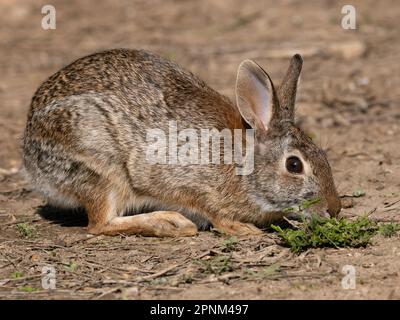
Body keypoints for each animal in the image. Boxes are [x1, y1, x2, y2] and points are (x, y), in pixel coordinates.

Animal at [21, 48, 340, 238]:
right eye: (294, 165)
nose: (334, 210)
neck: (242, 165)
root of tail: (30, 158)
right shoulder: (186, 182)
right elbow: (212, 211)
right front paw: (241, 228)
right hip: (102, 169)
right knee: (99, 224)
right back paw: (169, 223)